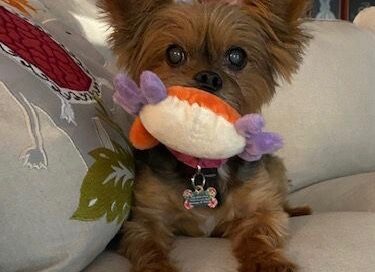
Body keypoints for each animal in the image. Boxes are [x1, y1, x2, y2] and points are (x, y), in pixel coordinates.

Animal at [99, 1, 312, 270]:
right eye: (174, 54)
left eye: (237, 56)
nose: (209, 77)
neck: (203, 165)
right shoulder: (145, 219)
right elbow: (148, 247)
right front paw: (159, 267)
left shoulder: (261, 209)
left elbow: (258, 233)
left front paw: (267, 262)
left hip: (275, 168)